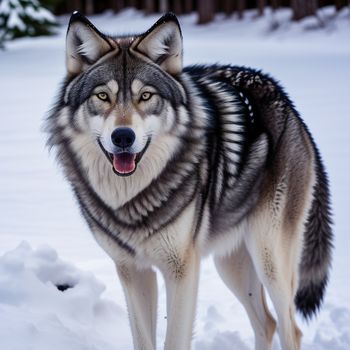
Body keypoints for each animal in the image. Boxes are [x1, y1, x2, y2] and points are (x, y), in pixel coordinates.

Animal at [45, 10, 332, 350]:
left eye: (146, 96)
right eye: (103, 96)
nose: (123, 137)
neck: (131, 199)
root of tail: (283, 98)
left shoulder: (181, 269)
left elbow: (174, 340)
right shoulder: (132, 271)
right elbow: (144, 340)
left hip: (269, 259)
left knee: (291, 328)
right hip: (231, 264)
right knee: (267, 323)